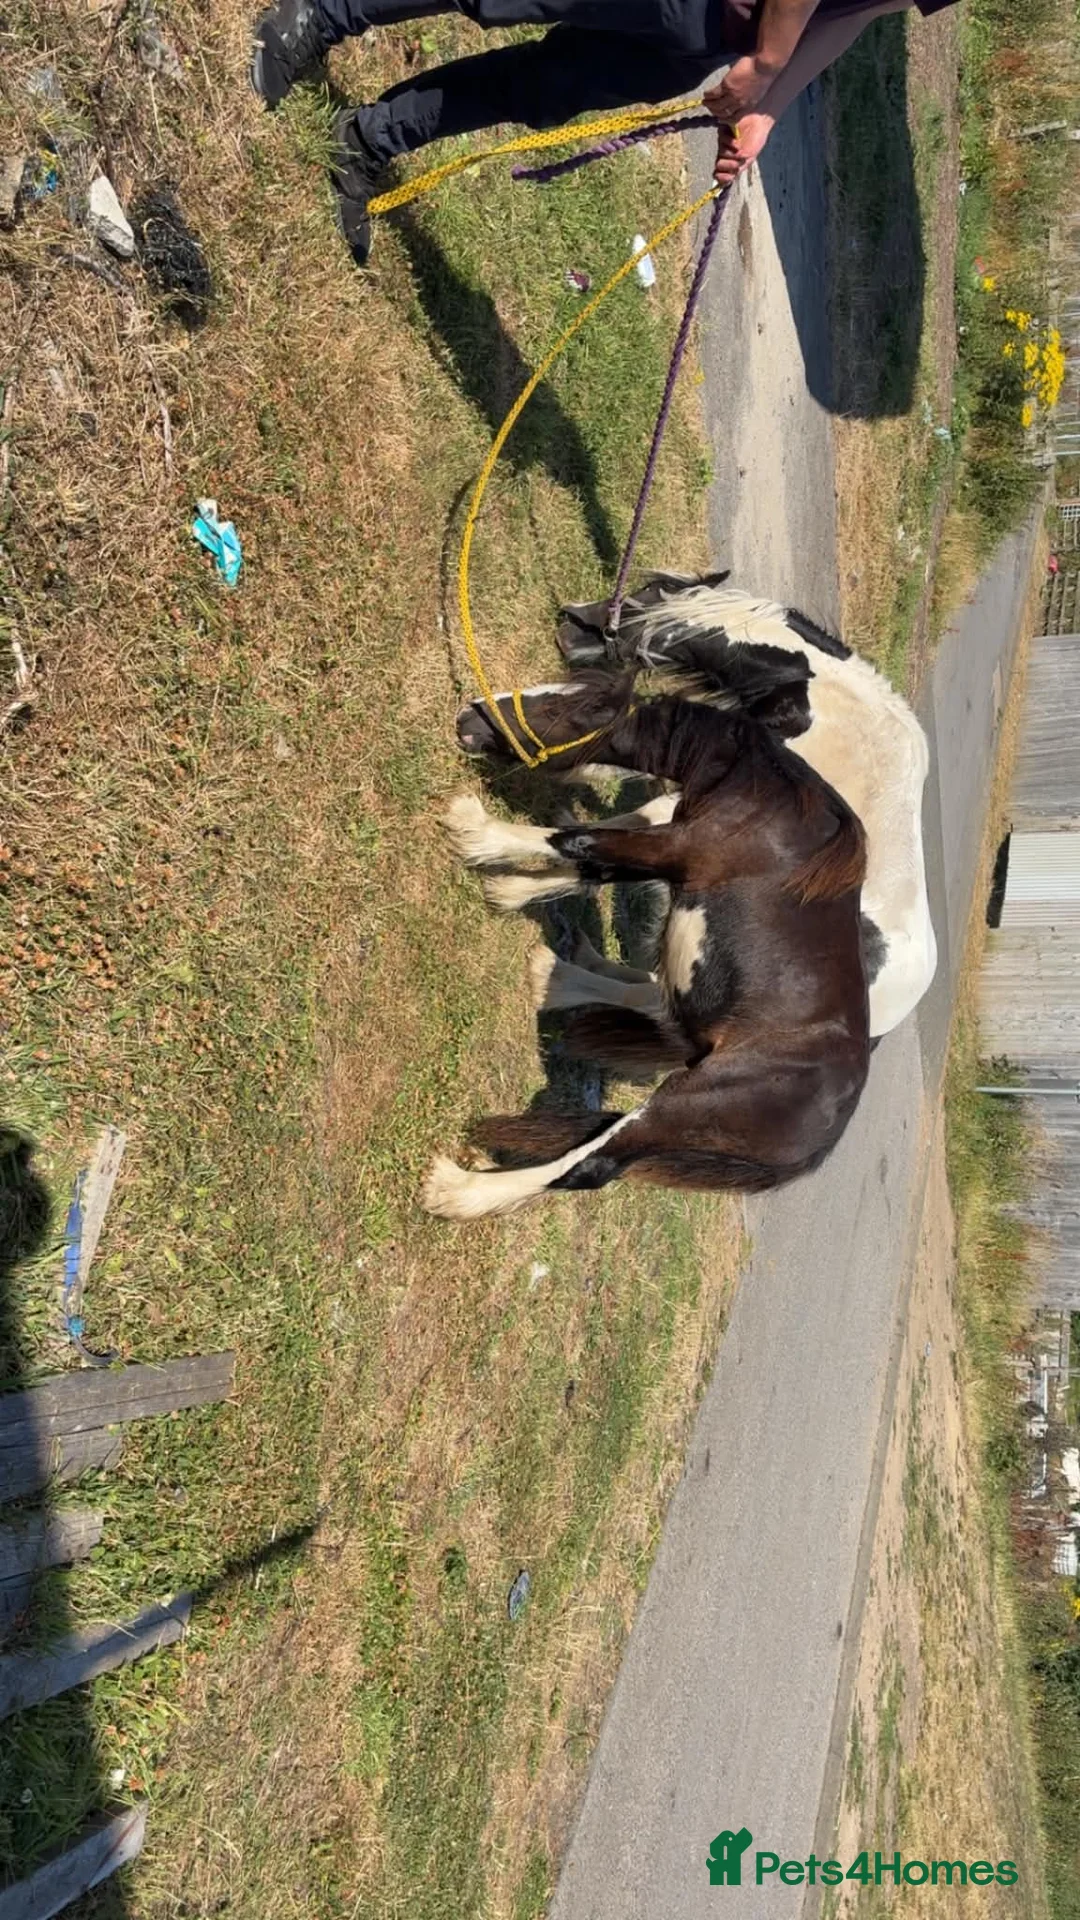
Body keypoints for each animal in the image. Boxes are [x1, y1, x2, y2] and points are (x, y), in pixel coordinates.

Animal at [421, 676, 870, 1220]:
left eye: (560, 708)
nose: (467, 716)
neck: (763, 803)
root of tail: (824, 1138)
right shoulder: (669, 855)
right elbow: (591, 867)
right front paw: (509, 887)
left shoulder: (672, 848)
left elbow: (574, 842)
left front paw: (474, 829)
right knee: (644, 998)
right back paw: (560, 975)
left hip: (681, 1105)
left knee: (588, 1165)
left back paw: (458, 1192)